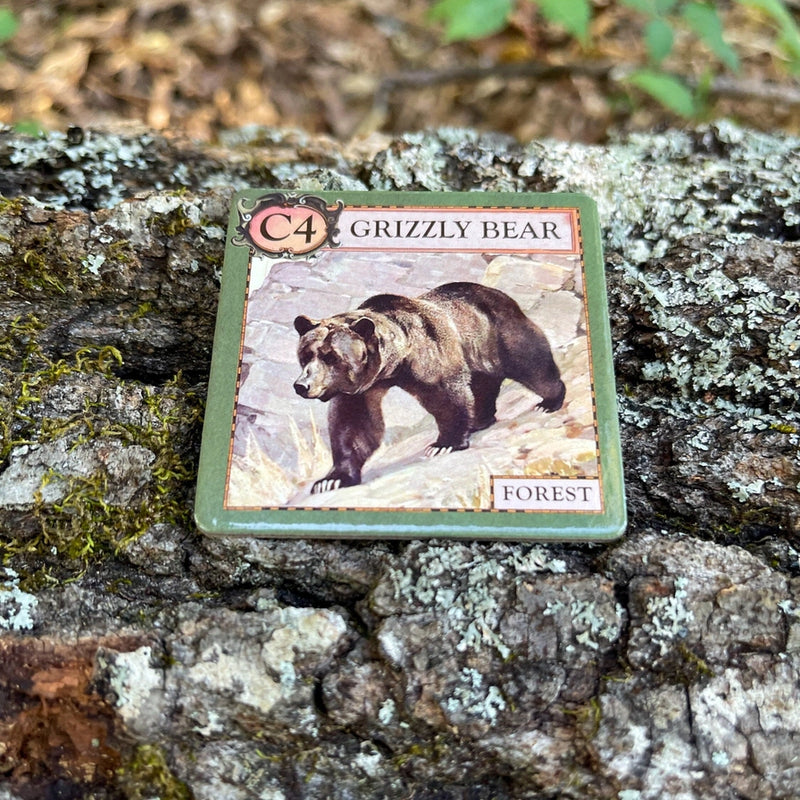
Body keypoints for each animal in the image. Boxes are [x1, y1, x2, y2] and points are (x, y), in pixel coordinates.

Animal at [293, 281, 566, 494]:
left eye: (331, 356)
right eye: (305, 355)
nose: (301, 385)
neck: (395, 363)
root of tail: (498, 293)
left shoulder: (430, 356)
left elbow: (447, 397)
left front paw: (443, 444)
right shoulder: (362, 389)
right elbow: (354, 425)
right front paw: (332, 480)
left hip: (497, 333)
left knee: (529, 361)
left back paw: (550, 400)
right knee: (483, 384)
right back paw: (480, 419)